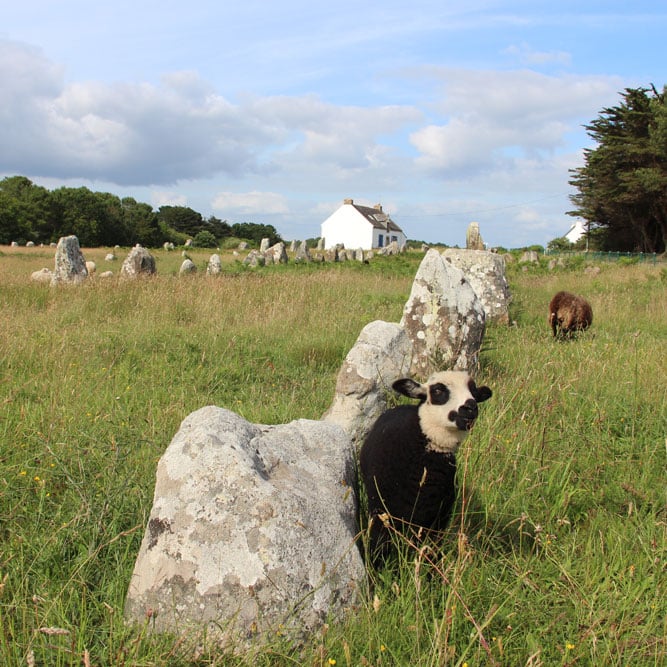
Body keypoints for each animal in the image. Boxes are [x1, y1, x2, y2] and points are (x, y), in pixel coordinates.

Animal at [358, 370, 494, 564]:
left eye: (474, 392)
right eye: (437, 390)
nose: (470, 407)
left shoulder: (437, 521)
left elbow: (431, 552)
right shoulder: (380, 512)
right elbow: (379, 548)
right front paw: (375, 571)